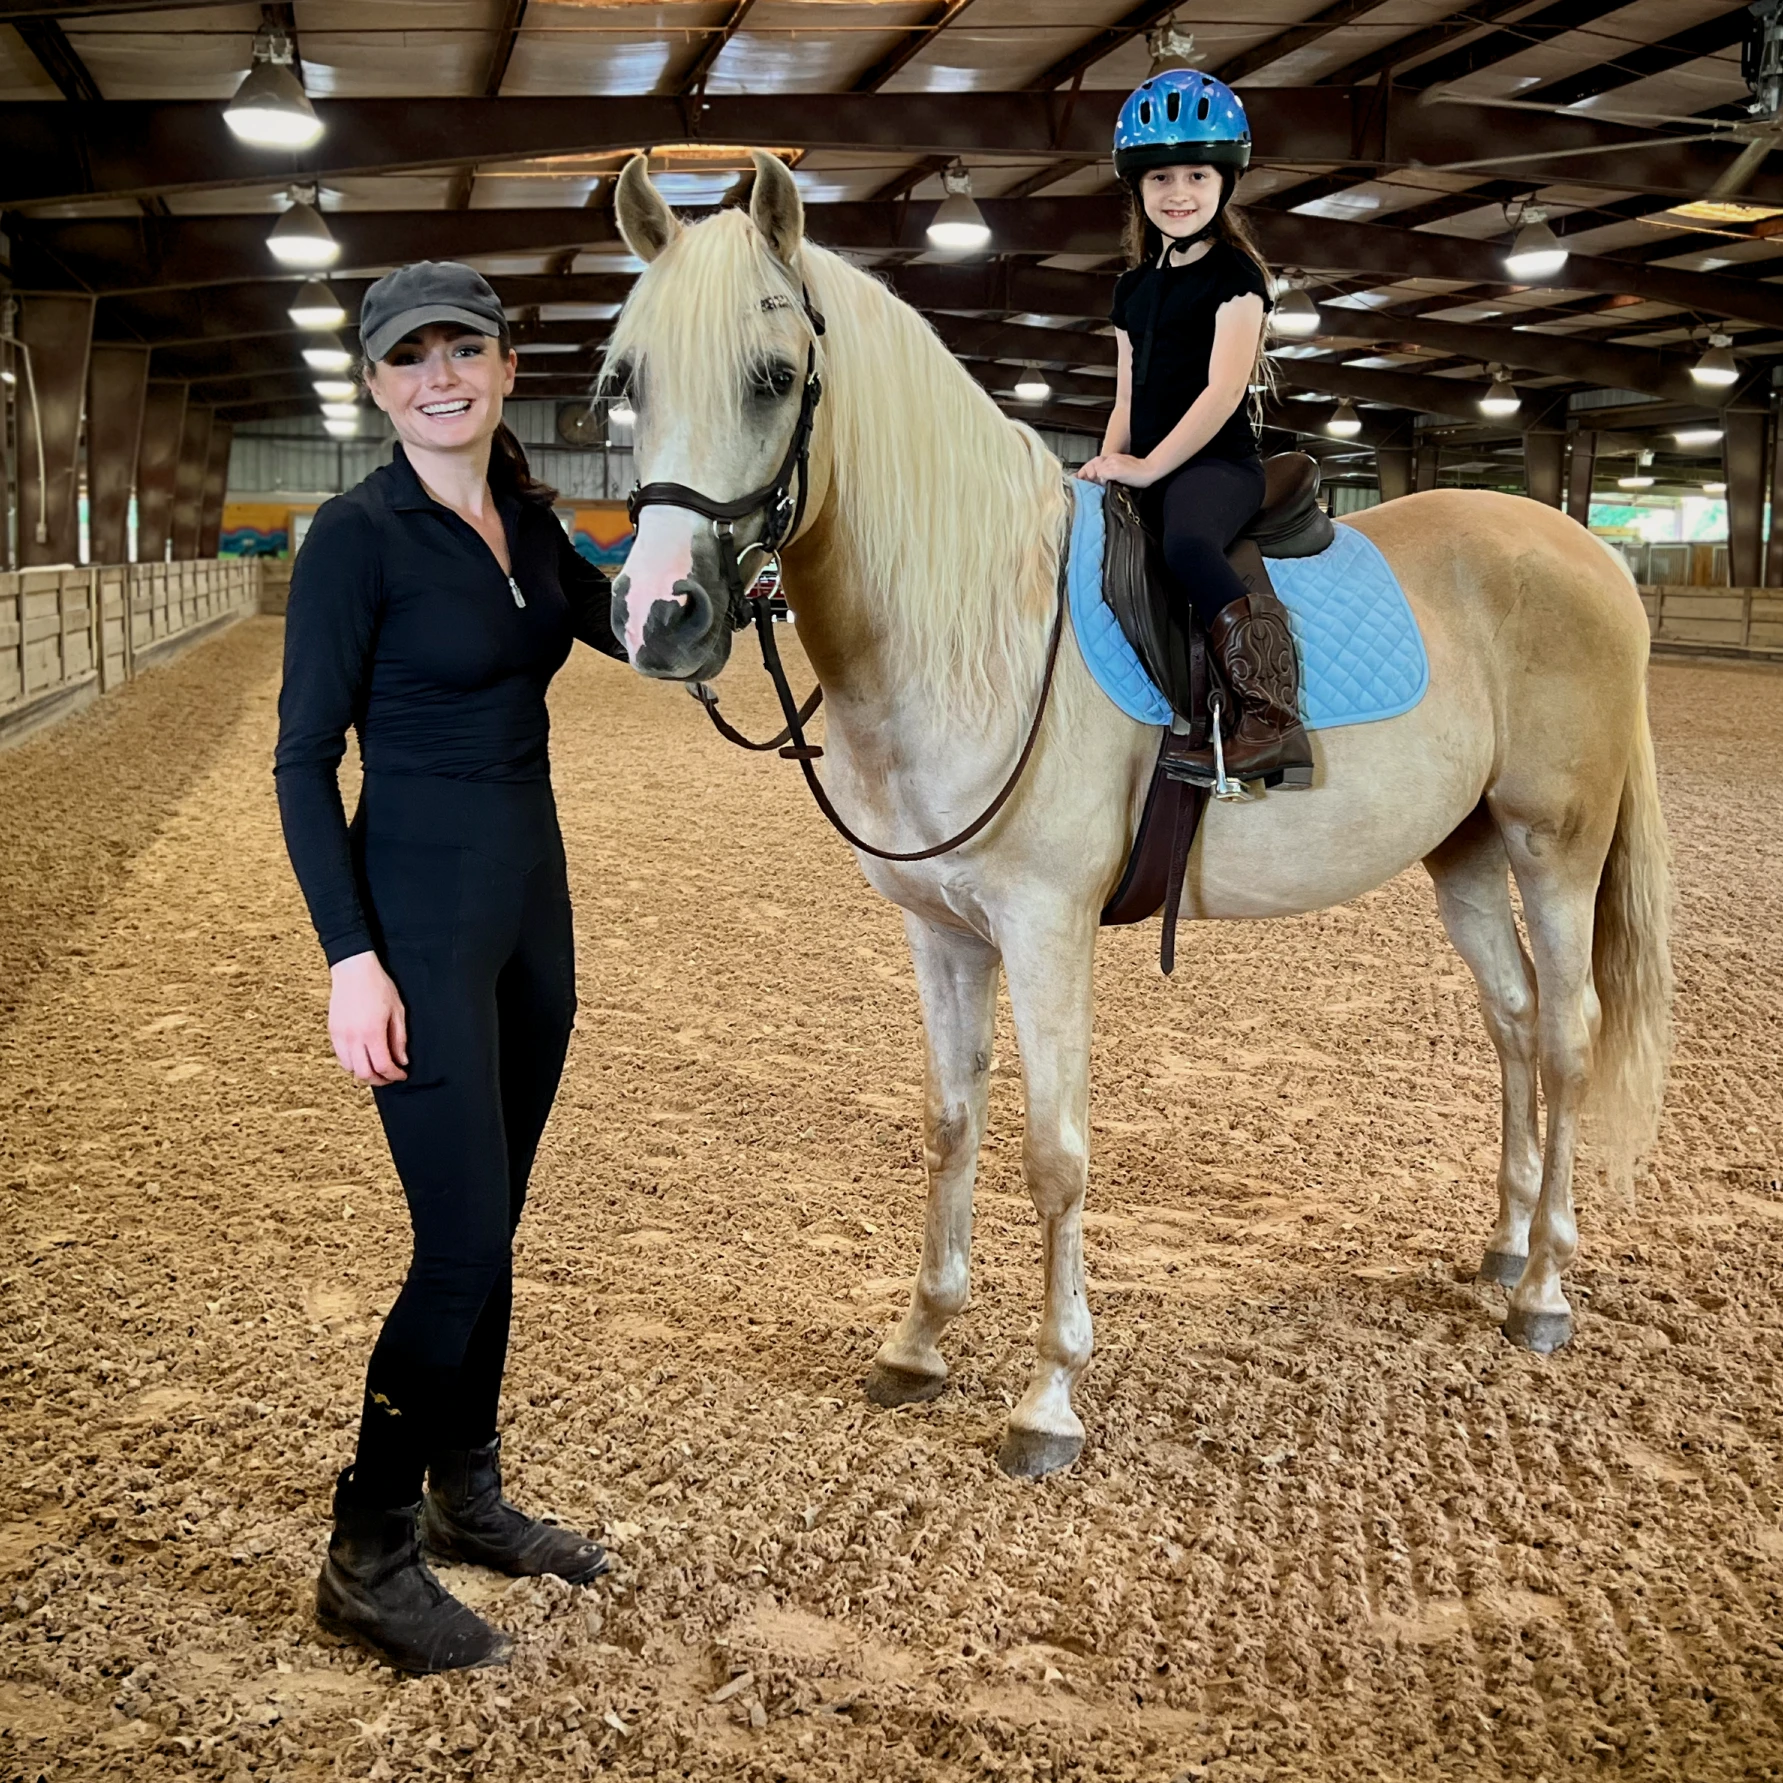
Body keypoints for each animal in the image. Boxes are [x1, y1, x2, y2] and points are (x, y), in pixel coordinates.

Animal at [602, 150, 1672, 1479]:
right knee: (1515, 1024)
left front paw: (1048, 1396)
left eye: (774, 377)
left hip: (1552, 849)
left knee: (1569, 1035)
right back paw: (1507, 1246)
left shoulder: (1043, 929)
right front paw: (917, 1342)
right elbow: (949, 1124)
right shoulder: (940, 932)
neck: (977, 625)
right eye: (627, 380)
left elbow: (1053, 1154)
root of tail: (1584, 547)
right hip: (1463, 858)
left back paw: (1545, 1290)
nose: (659, 615)